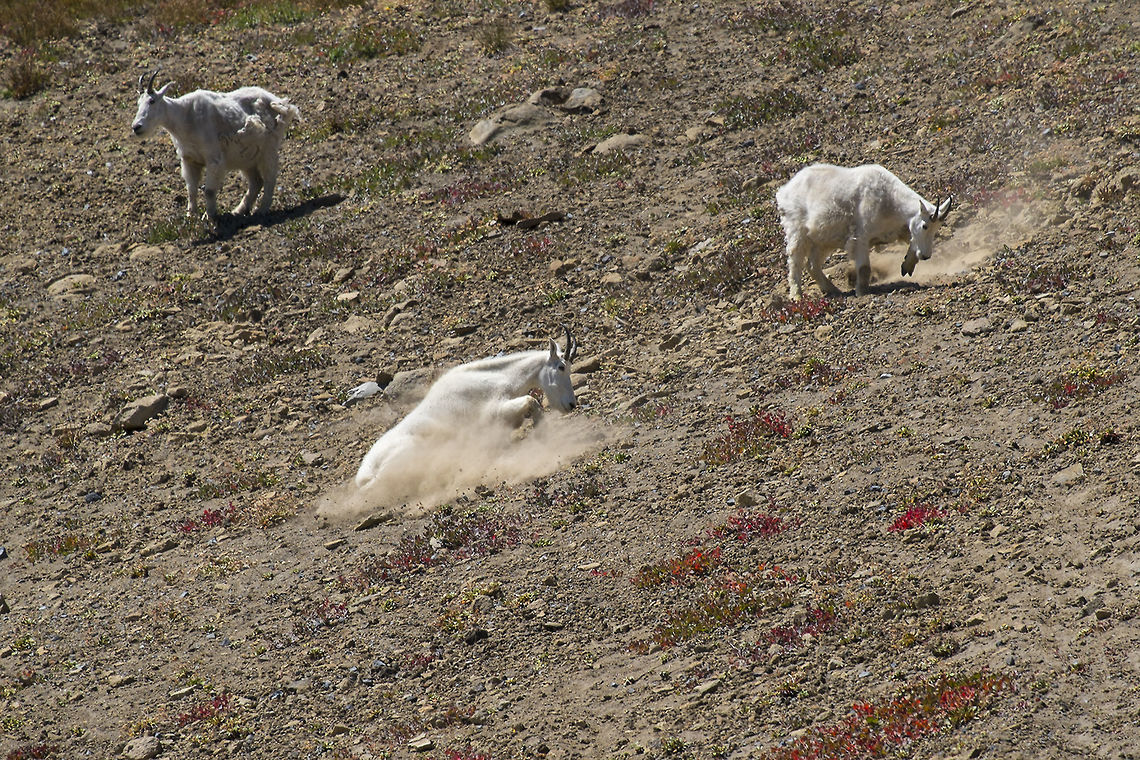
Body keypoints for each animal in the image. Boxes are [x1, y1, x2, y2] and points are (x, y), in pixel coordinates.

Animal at [131, 70, 300, 221]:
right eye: (138, 103)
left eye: (152, 101)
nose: (136, 127)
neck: (184, 118)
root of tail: (280, 103)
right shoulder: (189, 160)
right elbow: (191, 190)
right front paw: (191, 217)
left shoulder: (214, 159)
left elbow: (210, 191)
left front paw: (209, 216)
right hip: (247, 157)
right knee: (256, 182)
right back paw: (238, 211)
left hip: (268, 149)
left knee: (270, 178)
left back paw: (262, 210)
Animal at [354, 327, 580, 493]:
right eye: (561, 367)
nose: (571, 405)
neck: (497, 378)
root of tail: (365, 474)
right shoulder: (493, 412)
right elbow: (531, 401)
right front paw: (543, 437)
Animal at [775, 163, 953, 298]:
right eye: (925, 226)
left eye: (936, 229)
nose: (926, 256)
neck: (890, 202)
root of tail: (784, 191)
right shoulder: (860, 236)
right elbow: (864, 268)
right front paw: (861, 292)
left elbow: (912, 243)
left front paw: (906, 267)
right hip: (796, 230)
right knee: (795, 261)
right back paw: (797, 296)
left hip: (822, 240)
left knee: (812, 264)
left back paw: (833, 289)